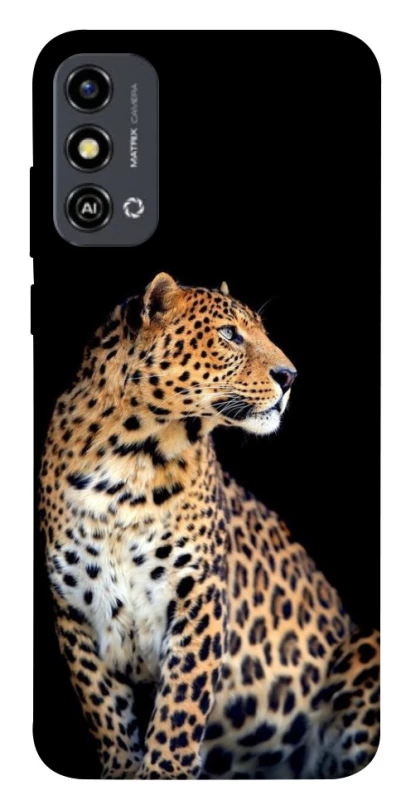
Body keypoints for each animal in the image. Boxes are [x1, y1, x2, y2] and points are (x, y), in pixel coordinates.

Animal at [39, 272, 379, 779]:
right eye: (228, 334)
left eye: (260, 331)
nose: (290, 376)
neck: (129, 460)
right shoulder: (74, 609)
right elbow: (104, 710)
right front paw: (122, 772)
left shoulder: (198, 594)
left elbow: (179, 707)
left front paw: (165, 773)